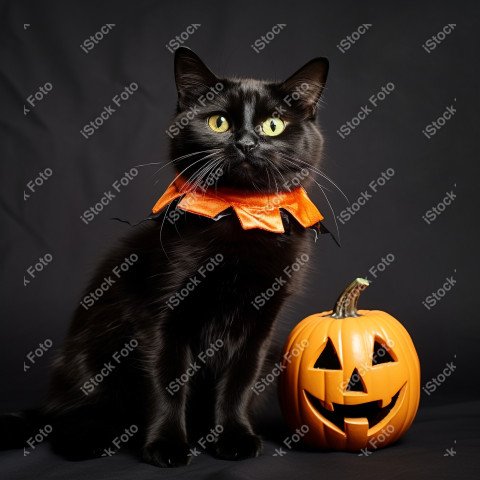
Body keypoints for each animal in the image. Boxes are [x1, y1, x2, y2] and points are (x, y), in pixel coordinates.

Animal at [0, 47, 328, 466]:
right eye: (219, 122)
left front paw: (234, 437)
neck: (236, 214)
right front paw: (167, 445)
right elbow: (167, 381)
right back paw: (89, 438)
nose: (245, 143)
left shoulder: (262, 322)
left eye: (273, 125)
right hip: (93, 356)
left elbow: (239, 380)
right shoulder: (160, 314)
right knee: (71, 417)